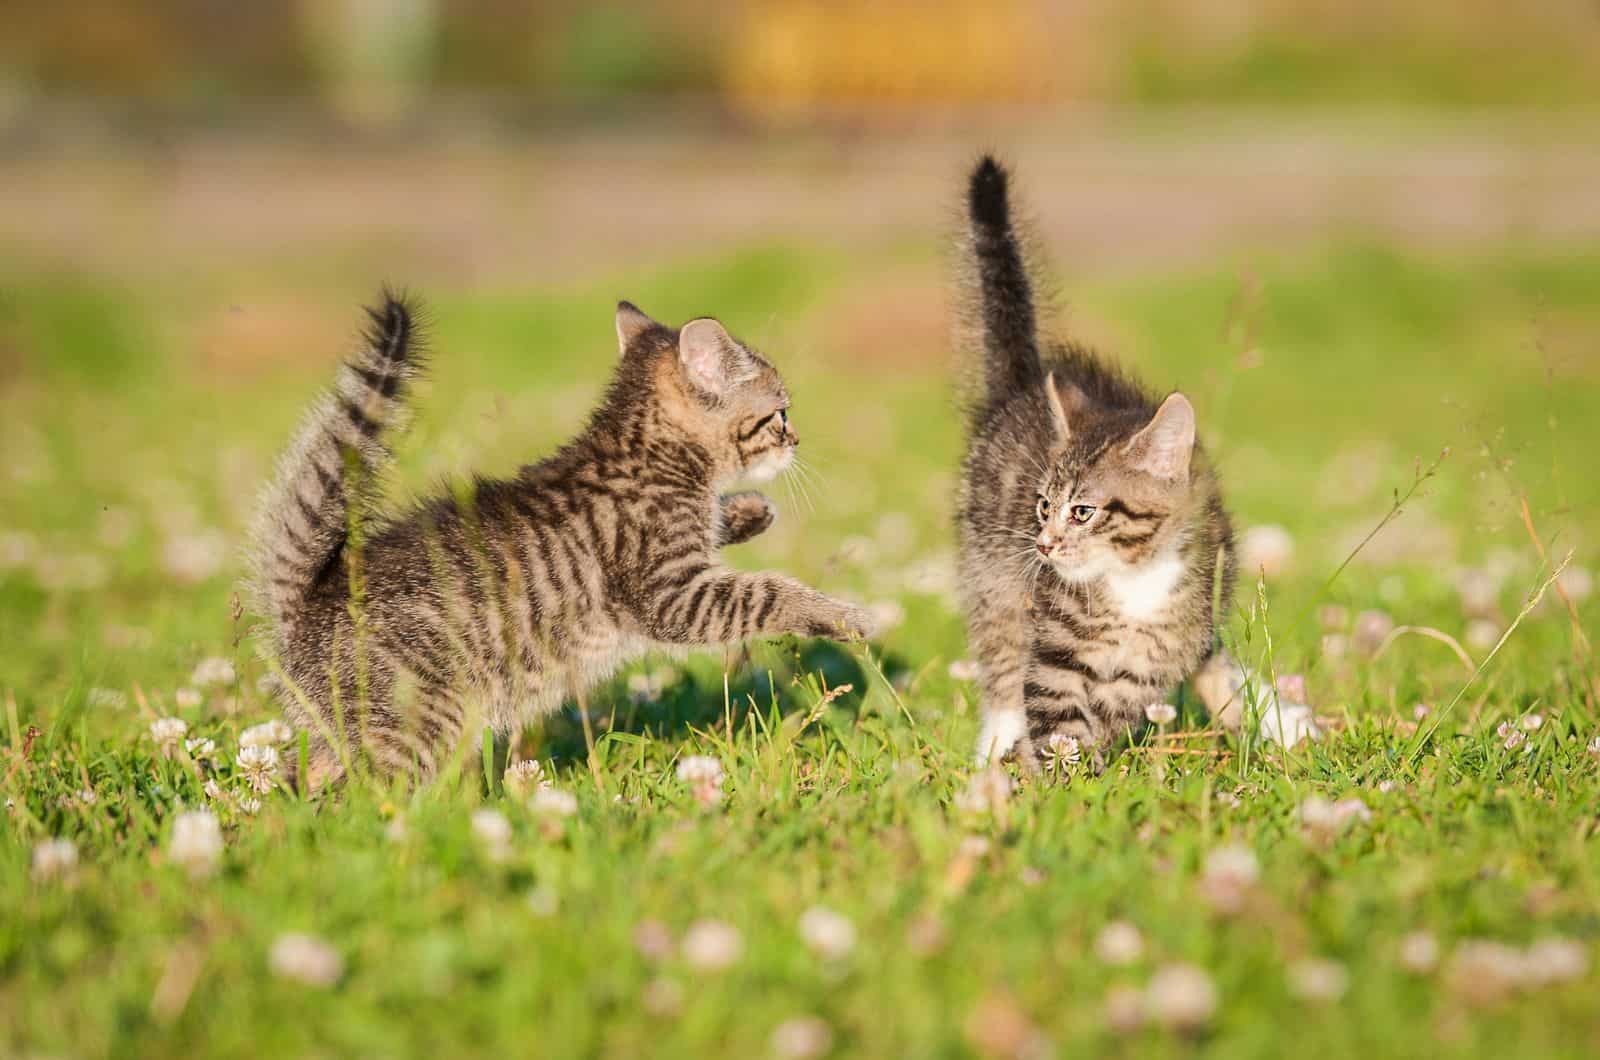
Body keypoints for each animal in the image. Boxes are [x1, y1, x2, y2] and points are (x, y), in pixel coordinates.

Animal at [251, 293, 876, 787]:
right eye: (780, 413)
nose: (797, 438)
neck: (648, 453)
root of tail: (307, 605)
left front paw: (747, 511)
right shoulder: (673, 596)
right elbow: (768, 592)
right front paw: (843, 616)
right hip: (415, 723)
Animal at [953, 156, 1241, 771]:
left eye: (1083, 512)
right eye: (1042, 506)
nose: (1044, 545)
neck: (1133, 578)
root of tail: (1022, 385)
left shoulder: (1157, 653)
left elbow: (1112, 710)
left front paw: (1091, 770)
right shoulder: (1054, 644)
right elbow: (1056, 709)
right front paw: (1065, 777)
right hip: (993, 574)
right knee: (1001, 657)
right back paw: (997, 746)